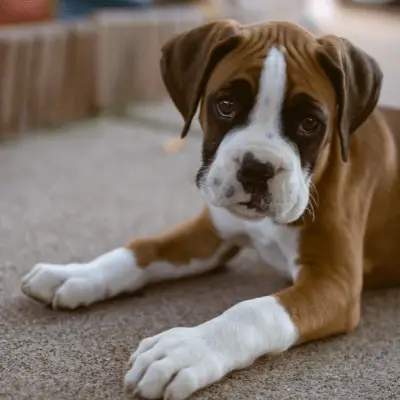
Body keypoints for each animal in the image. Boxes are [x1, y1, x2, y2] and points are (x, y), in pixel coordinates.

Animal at [21, 19, 400, 400]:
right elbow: (144, 247)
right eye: (226, 105)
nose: (257, 168)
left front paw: (186, 350)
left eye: (309, 123)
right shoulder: (210, 236)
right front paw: (77, 273)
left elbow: (255, 311)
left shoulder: (335, 282)